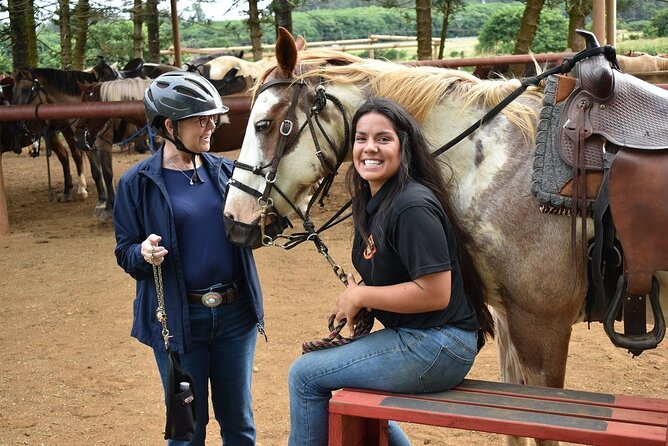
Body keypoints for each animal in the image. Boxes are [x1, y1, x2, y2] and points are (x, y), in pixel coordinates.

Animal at [74, 79, 153, 222]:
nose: (77, 139)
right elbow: (98, 172)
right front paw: (104, 204)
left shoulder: (103, 144)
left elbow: (107, 173)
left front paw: (108, 208)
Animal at [223, 28, 668, 446]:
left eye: (264, 124)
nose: (232, 220)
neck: (500, 167)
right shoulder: (510, 320)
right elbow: (514, 429)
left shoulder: (543, 324)